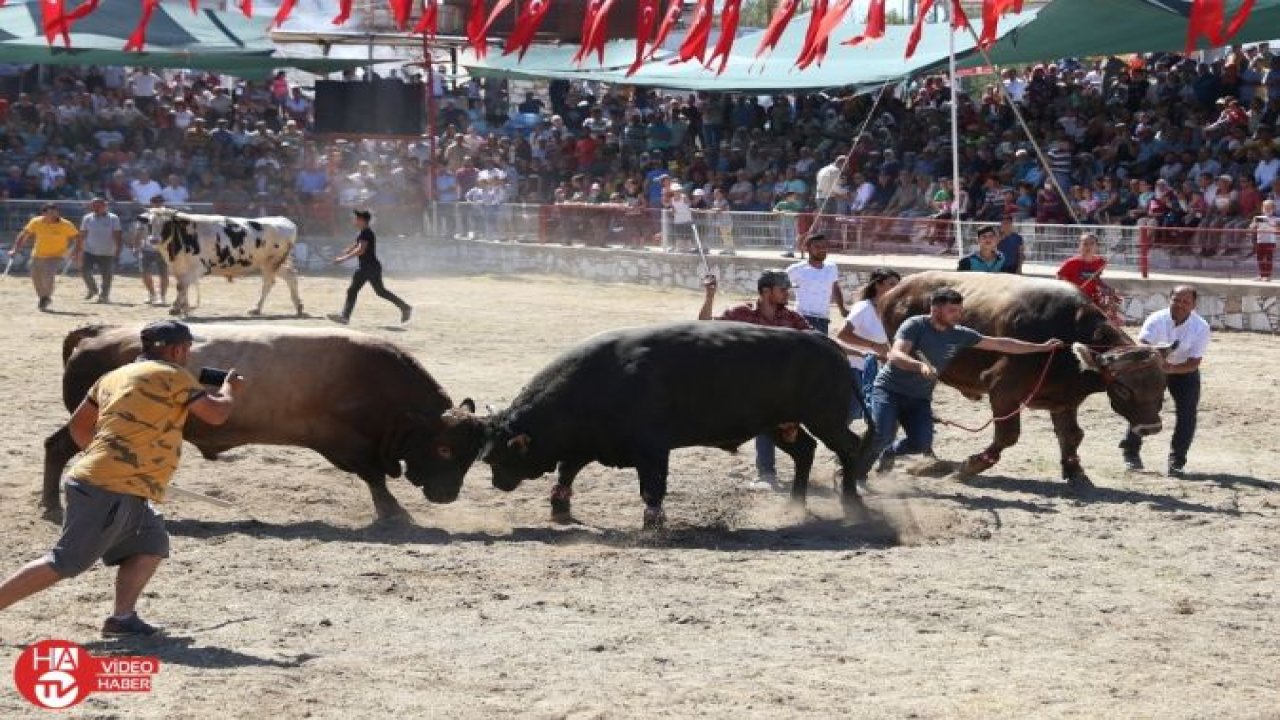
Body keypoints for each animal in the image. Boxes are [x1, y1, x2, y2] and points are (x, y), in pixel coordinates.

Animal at [138, 208, 304, 317]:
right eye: (150, 223)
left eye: (167, 224)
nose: (153, 240)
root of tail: (283, 220)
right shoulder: (178, 268)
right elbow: (182, 287)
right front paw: (179, 307)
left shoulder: (198, 268)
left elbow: (182, 286)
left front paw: (178, 308)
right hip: (272, 263)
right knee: (291, 276)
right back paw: (298, 306)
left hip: (271, 263)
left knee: (269, 283)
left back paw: (257, 308)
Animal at [880, 271, 1172, 489]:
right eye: (1123, 389)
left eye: (1162, 386)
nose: (1152, 428)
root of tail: (896, 291)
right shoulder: (1003, 390)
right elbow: (1008, 435)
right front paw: (970, 466)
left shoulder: (1065, 400)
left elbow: (1072, 435)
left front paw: (1075, 472)